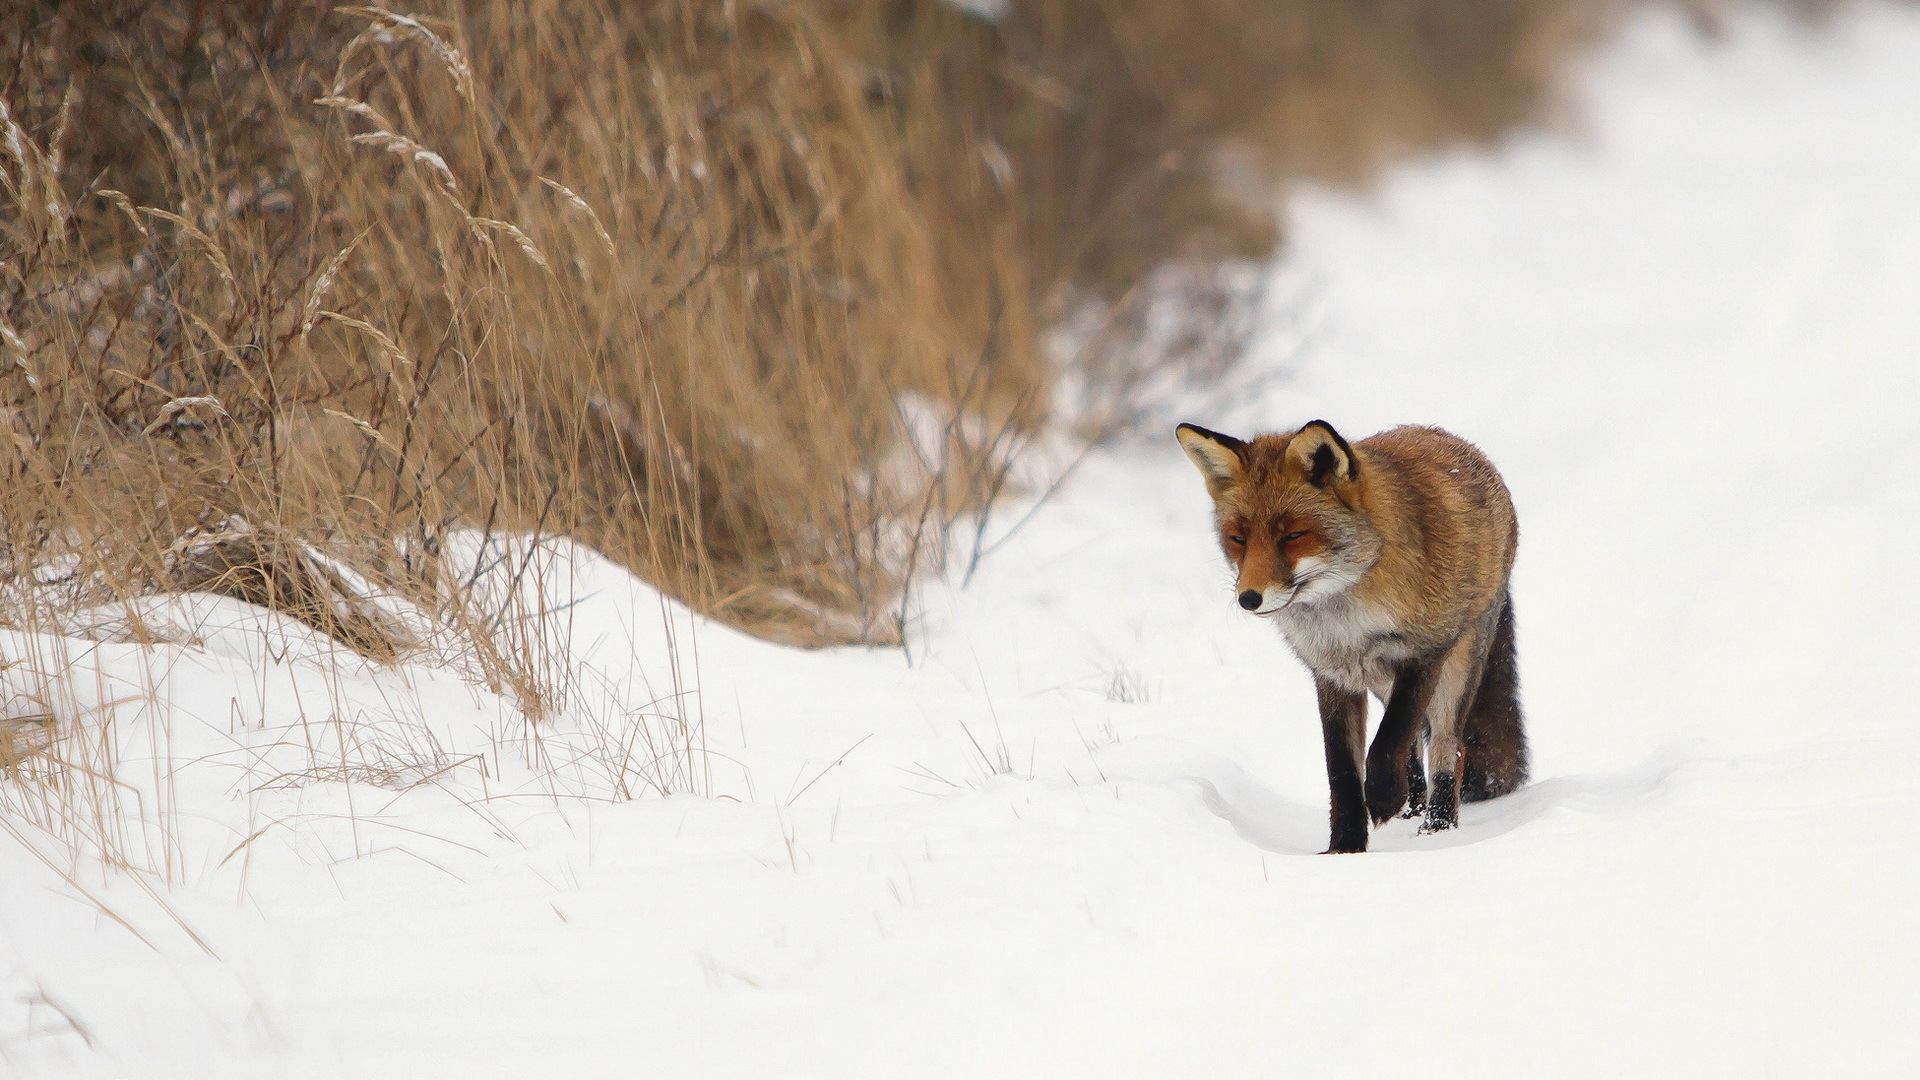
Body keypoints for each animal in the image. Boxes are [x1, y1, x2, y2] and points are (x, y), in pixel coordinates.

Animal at [1167, 418, 1528, 849]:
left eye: (1293, 535)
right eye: (1238, 539)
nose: (1248, 598)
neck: (1346, 623)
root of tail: (1448, 437)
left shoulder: (1424, 654)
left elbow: (1389, 741)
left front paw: (1385, 798)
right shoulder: (1332, 675)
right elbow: (1342, 770)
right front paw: (1345, 847)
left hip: (1457, 668)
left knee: (1447, 750)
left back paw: (1435, 826)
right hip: (1381, 679)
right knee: (1414, 751)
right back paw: (1411, 809)